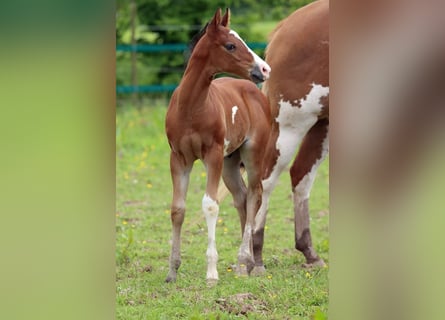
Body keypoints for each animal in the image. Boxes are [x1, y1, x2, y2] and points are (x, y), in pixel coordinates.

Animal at [165, 7, 270, 284]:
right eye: (231, 45)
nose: (265, 68)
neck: (190, 107)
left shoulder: (211, 155)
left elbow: (210, 205)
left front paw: (211, 273)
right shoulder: (178, 158)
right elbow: (178, 209)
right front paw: (172, 271)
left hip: (253, 155)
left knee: (255, 196)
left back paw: (248, 260)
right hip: (229, 162)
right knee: (241, 197)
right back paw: (244, 265)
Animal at [251, 0, 328, 276]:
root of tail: (285, 27)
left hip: (322, 123)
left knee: (301, 175)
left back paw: (309, 252)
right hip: (292, 124)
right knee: (266, 180)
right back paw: (256, 256)